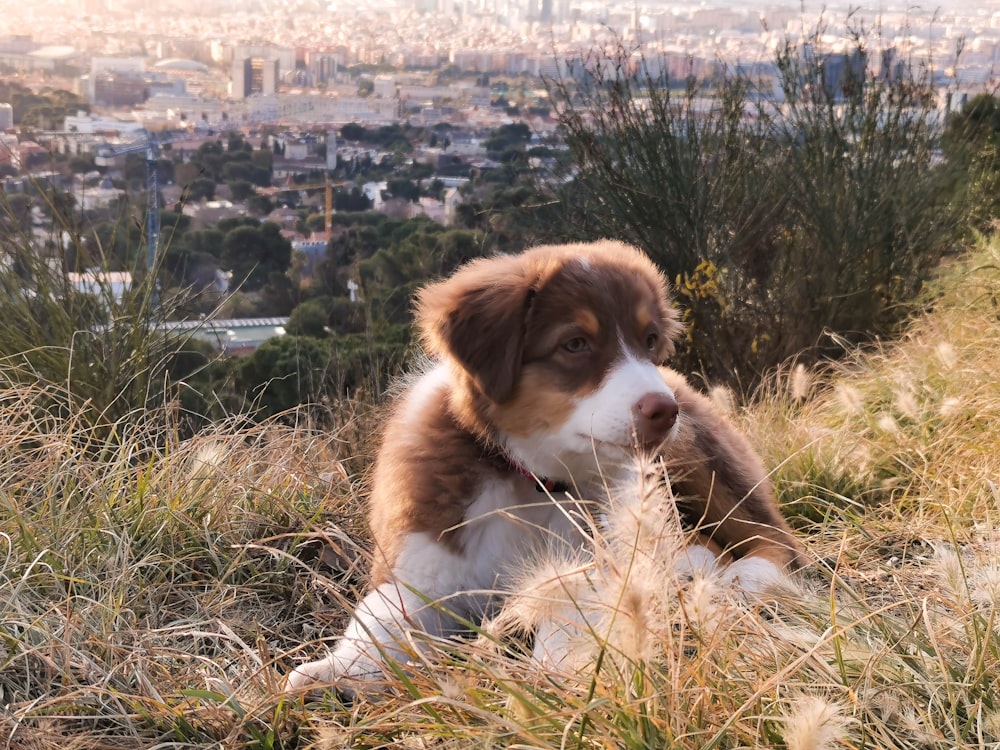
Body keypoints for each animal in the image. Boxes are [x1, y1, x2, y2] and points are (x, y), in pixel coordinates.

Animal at [284, 241, 804, 692]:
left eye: (650, 340)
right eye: (575, 344)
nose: (665, 411)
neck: (533, 480)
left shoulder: (595, 560)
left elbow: (569, 613)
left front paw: (555, 677)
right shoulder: (424, 557)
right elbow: (384, 618)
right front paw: (333, 673)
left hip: (699, 460)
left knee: (774, 536)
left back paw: (745, 579)